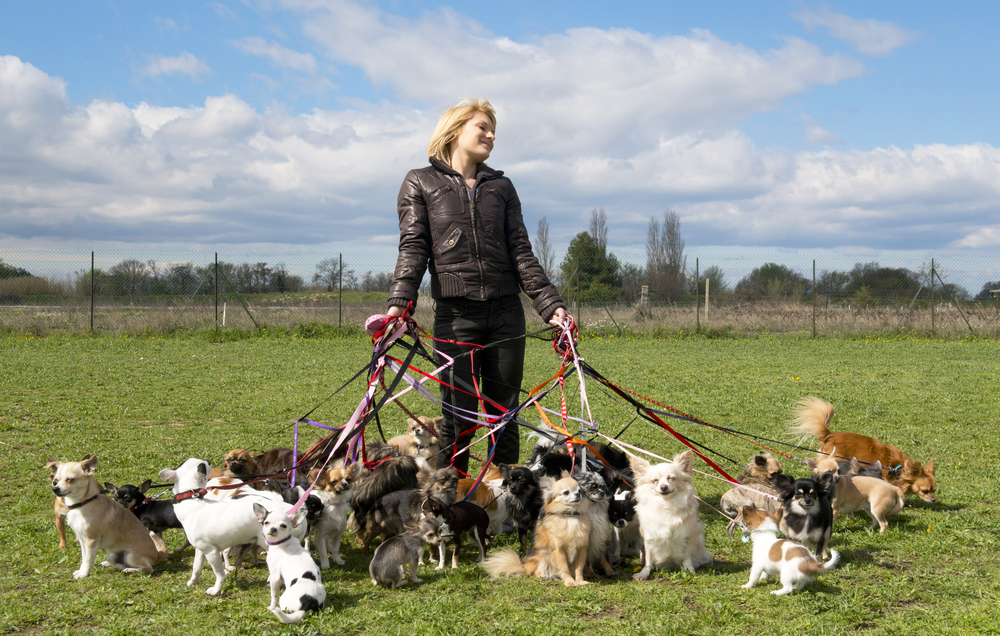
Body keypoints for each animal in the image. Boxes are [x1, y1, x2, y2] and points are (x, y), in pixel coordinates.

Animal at [158, 458, 306, 596]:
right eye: (204, 465)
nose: (208, 461)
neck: (191, 500)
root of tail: (295, 515)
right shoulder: (201, 549)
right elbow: (196, 567)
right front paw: (194, 582)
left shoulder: (211, 551)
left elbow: (219, 574)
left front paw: (216, 590)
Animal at [632, 450, 712, 580]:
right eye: (655, 481)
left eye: (671, 478)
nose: (663, 487)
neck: (667, 505)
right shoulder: (649, 538)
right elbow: (649, 559)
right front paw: (644, 573)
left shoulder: (690, 534)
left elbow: (687, 557)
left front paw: (689, 570)